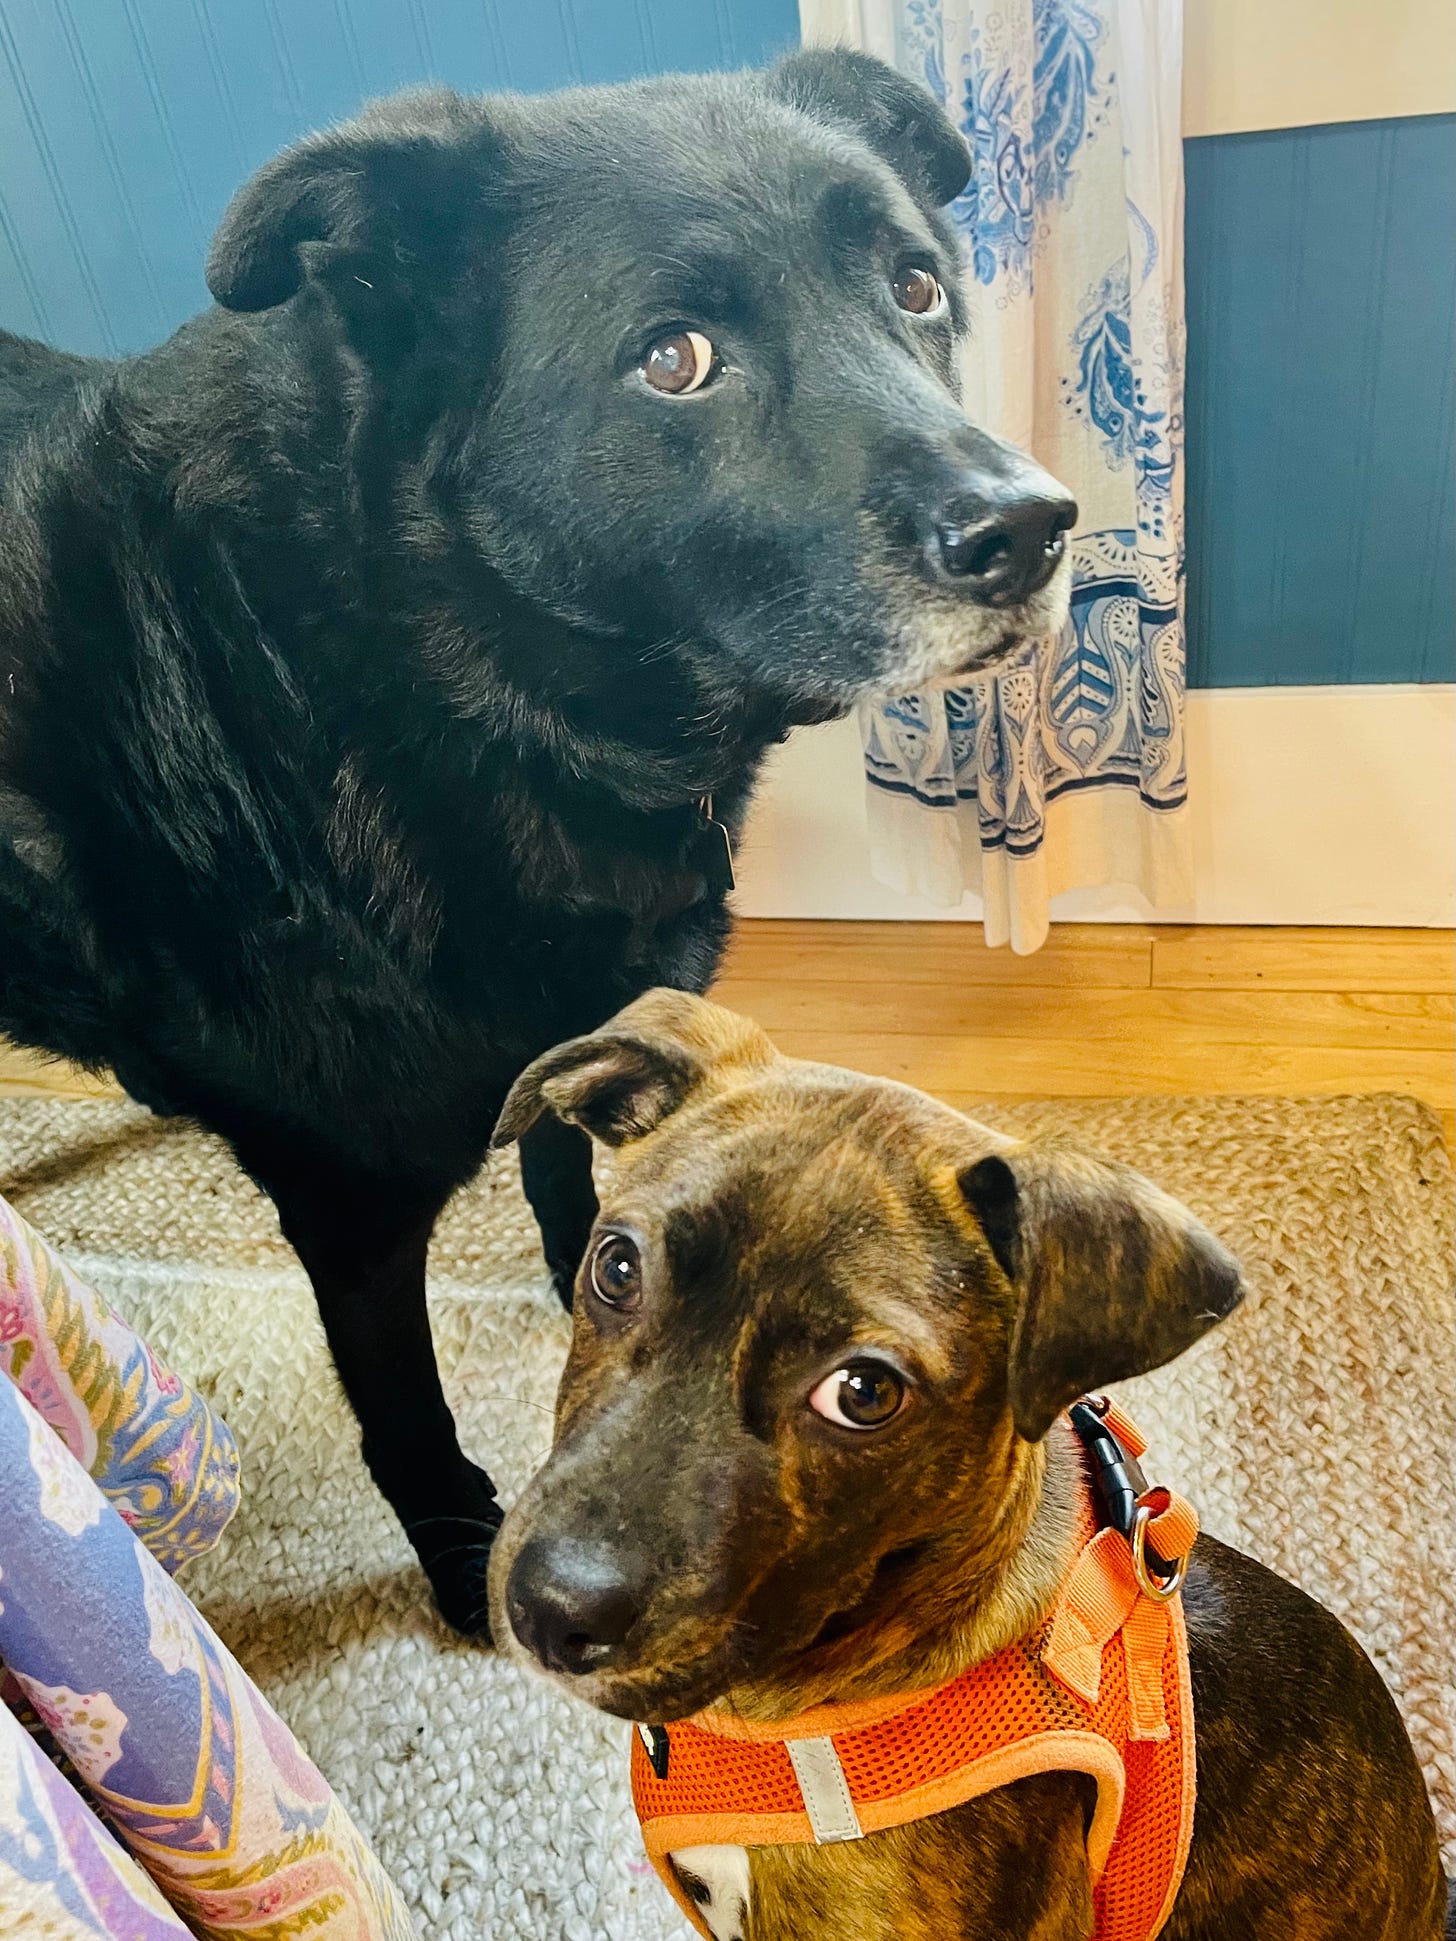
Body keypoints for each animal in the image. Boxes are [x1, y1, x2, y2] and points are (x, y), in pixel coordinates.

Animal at [0, 45, 1071, 1630]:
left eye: (917, 286)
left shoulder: (579, 1037)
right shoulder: (349, 1207)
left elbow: (581, 1186)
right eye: (674, 358)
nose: (1033, 527)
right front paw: (461, 1554)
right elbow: (404, 1407)